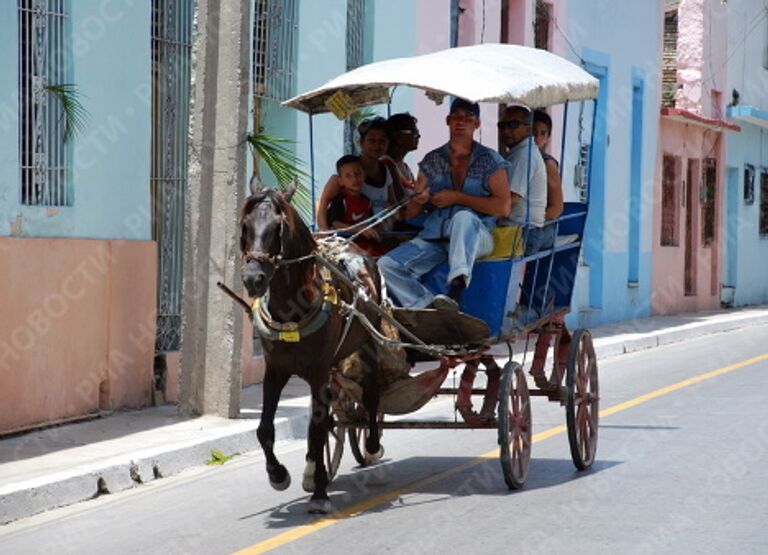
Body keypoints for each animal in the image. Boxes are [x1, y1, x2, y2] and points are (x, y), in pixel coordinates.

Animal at [240, 180, 384, 516]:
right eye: (246, 225)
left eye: (277, 228)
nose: (253, 279)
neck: (292, 308)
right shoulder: (275, 371)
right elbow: (265, 429)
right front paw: (279, 474)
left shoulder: (318, 372)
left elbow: (318, 430)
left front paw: (319, 493)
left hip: (369, 342)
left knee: (372, 391)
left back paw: (371, 445)